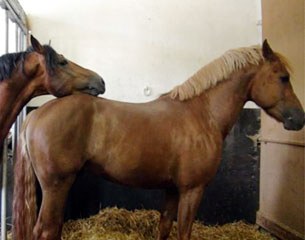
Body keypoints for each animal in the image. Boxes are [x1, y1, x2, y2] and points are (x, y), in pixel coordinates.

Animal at [13, 40, 302, 239]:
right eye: (283, 77)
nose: (299, 118)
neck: (201, 113)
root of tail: (36, 113)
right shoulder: (192, 190)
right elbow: (183, 232)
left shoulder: (173, 190)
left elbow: (164, 227)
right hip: (56, 186)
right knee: (45, 230)